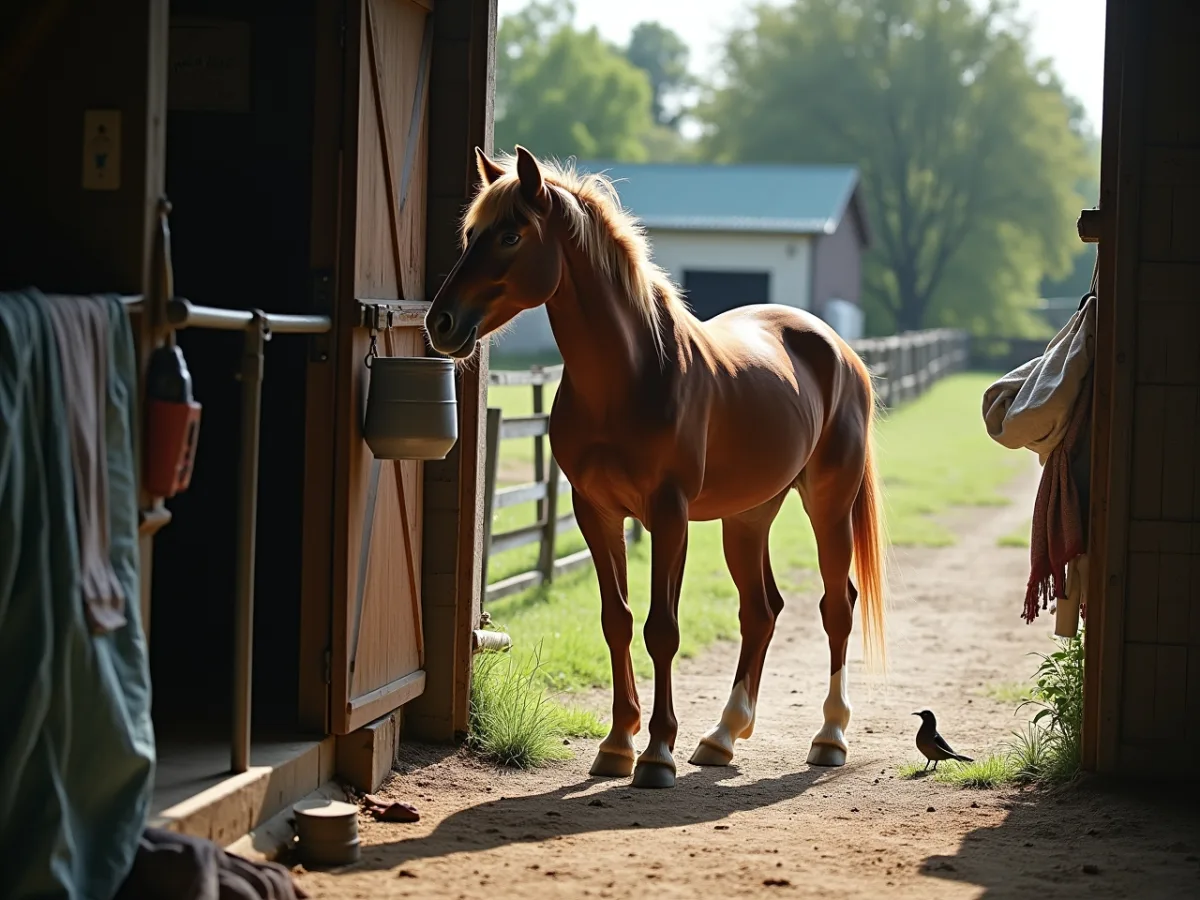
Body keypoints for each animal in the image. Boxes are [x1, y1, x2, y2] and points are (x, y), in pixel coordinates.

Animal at [425, 146, 887, 789]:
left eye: (511, 235)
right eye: (471, 234)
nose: (440, 324)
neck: (630, 375)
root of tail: (838, 349)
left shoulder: (668, 515)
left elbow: (660, 629)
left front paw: (657, 753)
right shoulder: (596, 512)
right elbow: (616, 621)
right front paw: (618, 743)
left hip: (828, 502)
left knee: (836, 607)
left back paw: (829, 737)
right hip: (748, 516)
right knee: (761, 611)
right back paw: (722, 736)